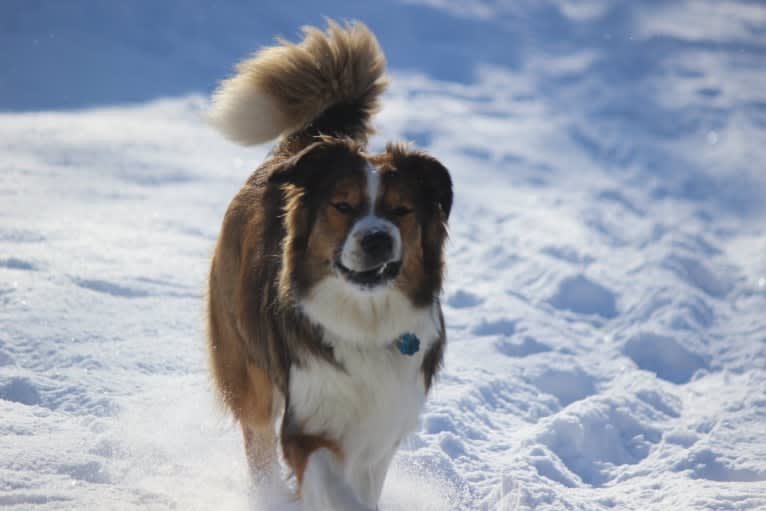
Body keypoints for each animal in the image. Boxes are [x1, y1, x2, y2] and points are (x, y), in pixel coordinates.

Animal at [207, 20, 452, 511]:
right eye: (343, 205)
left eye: (402, 210)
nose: (377, 239)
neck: (366, 321)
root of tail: (308, 141)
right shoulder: (308, 425)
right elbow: (333, 486)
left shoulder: (381, 430)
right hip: (247, 366)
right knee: (258, 441)